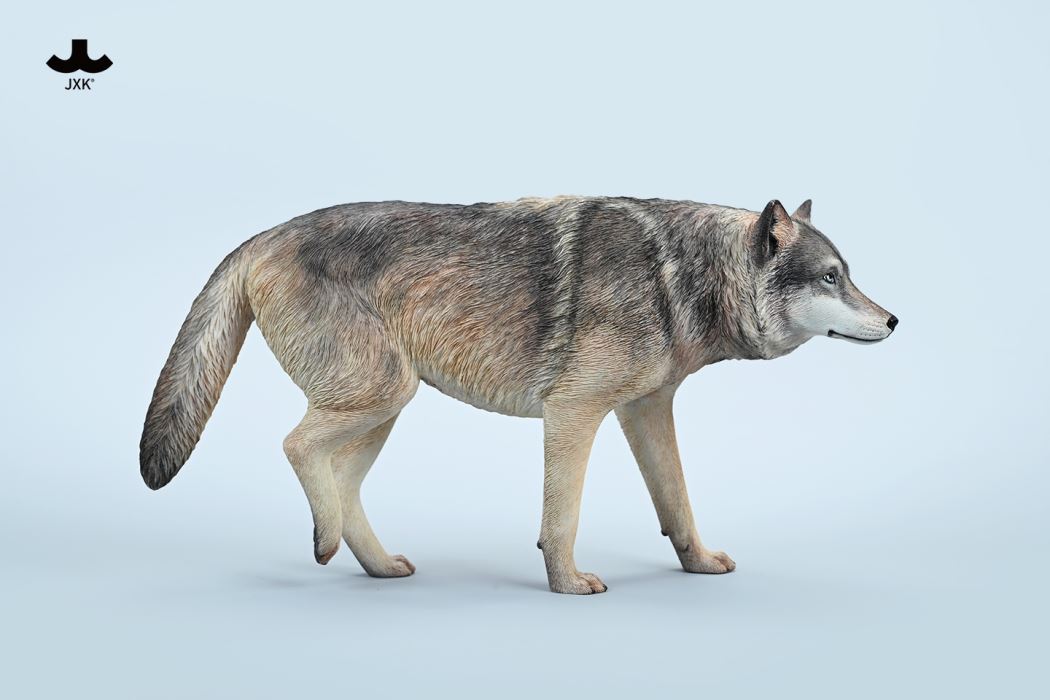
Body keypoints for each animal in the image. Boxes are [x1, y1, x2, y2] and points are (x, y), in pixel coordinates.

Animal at [140, 197, 897, 594]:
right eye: (831, 278)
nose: (893, 320)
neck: (678, 275)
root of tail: (258, 235)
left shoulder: (645, 412)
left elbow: (678, 505)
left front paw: (699, 565)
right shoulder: (573, 412)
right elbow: (561, 519)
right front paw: (568, 584)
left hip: (384, 410)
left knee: (340, 487)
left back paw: (378, 567)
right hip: (377, 397)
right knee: (295, 446)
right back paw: (326, 545)